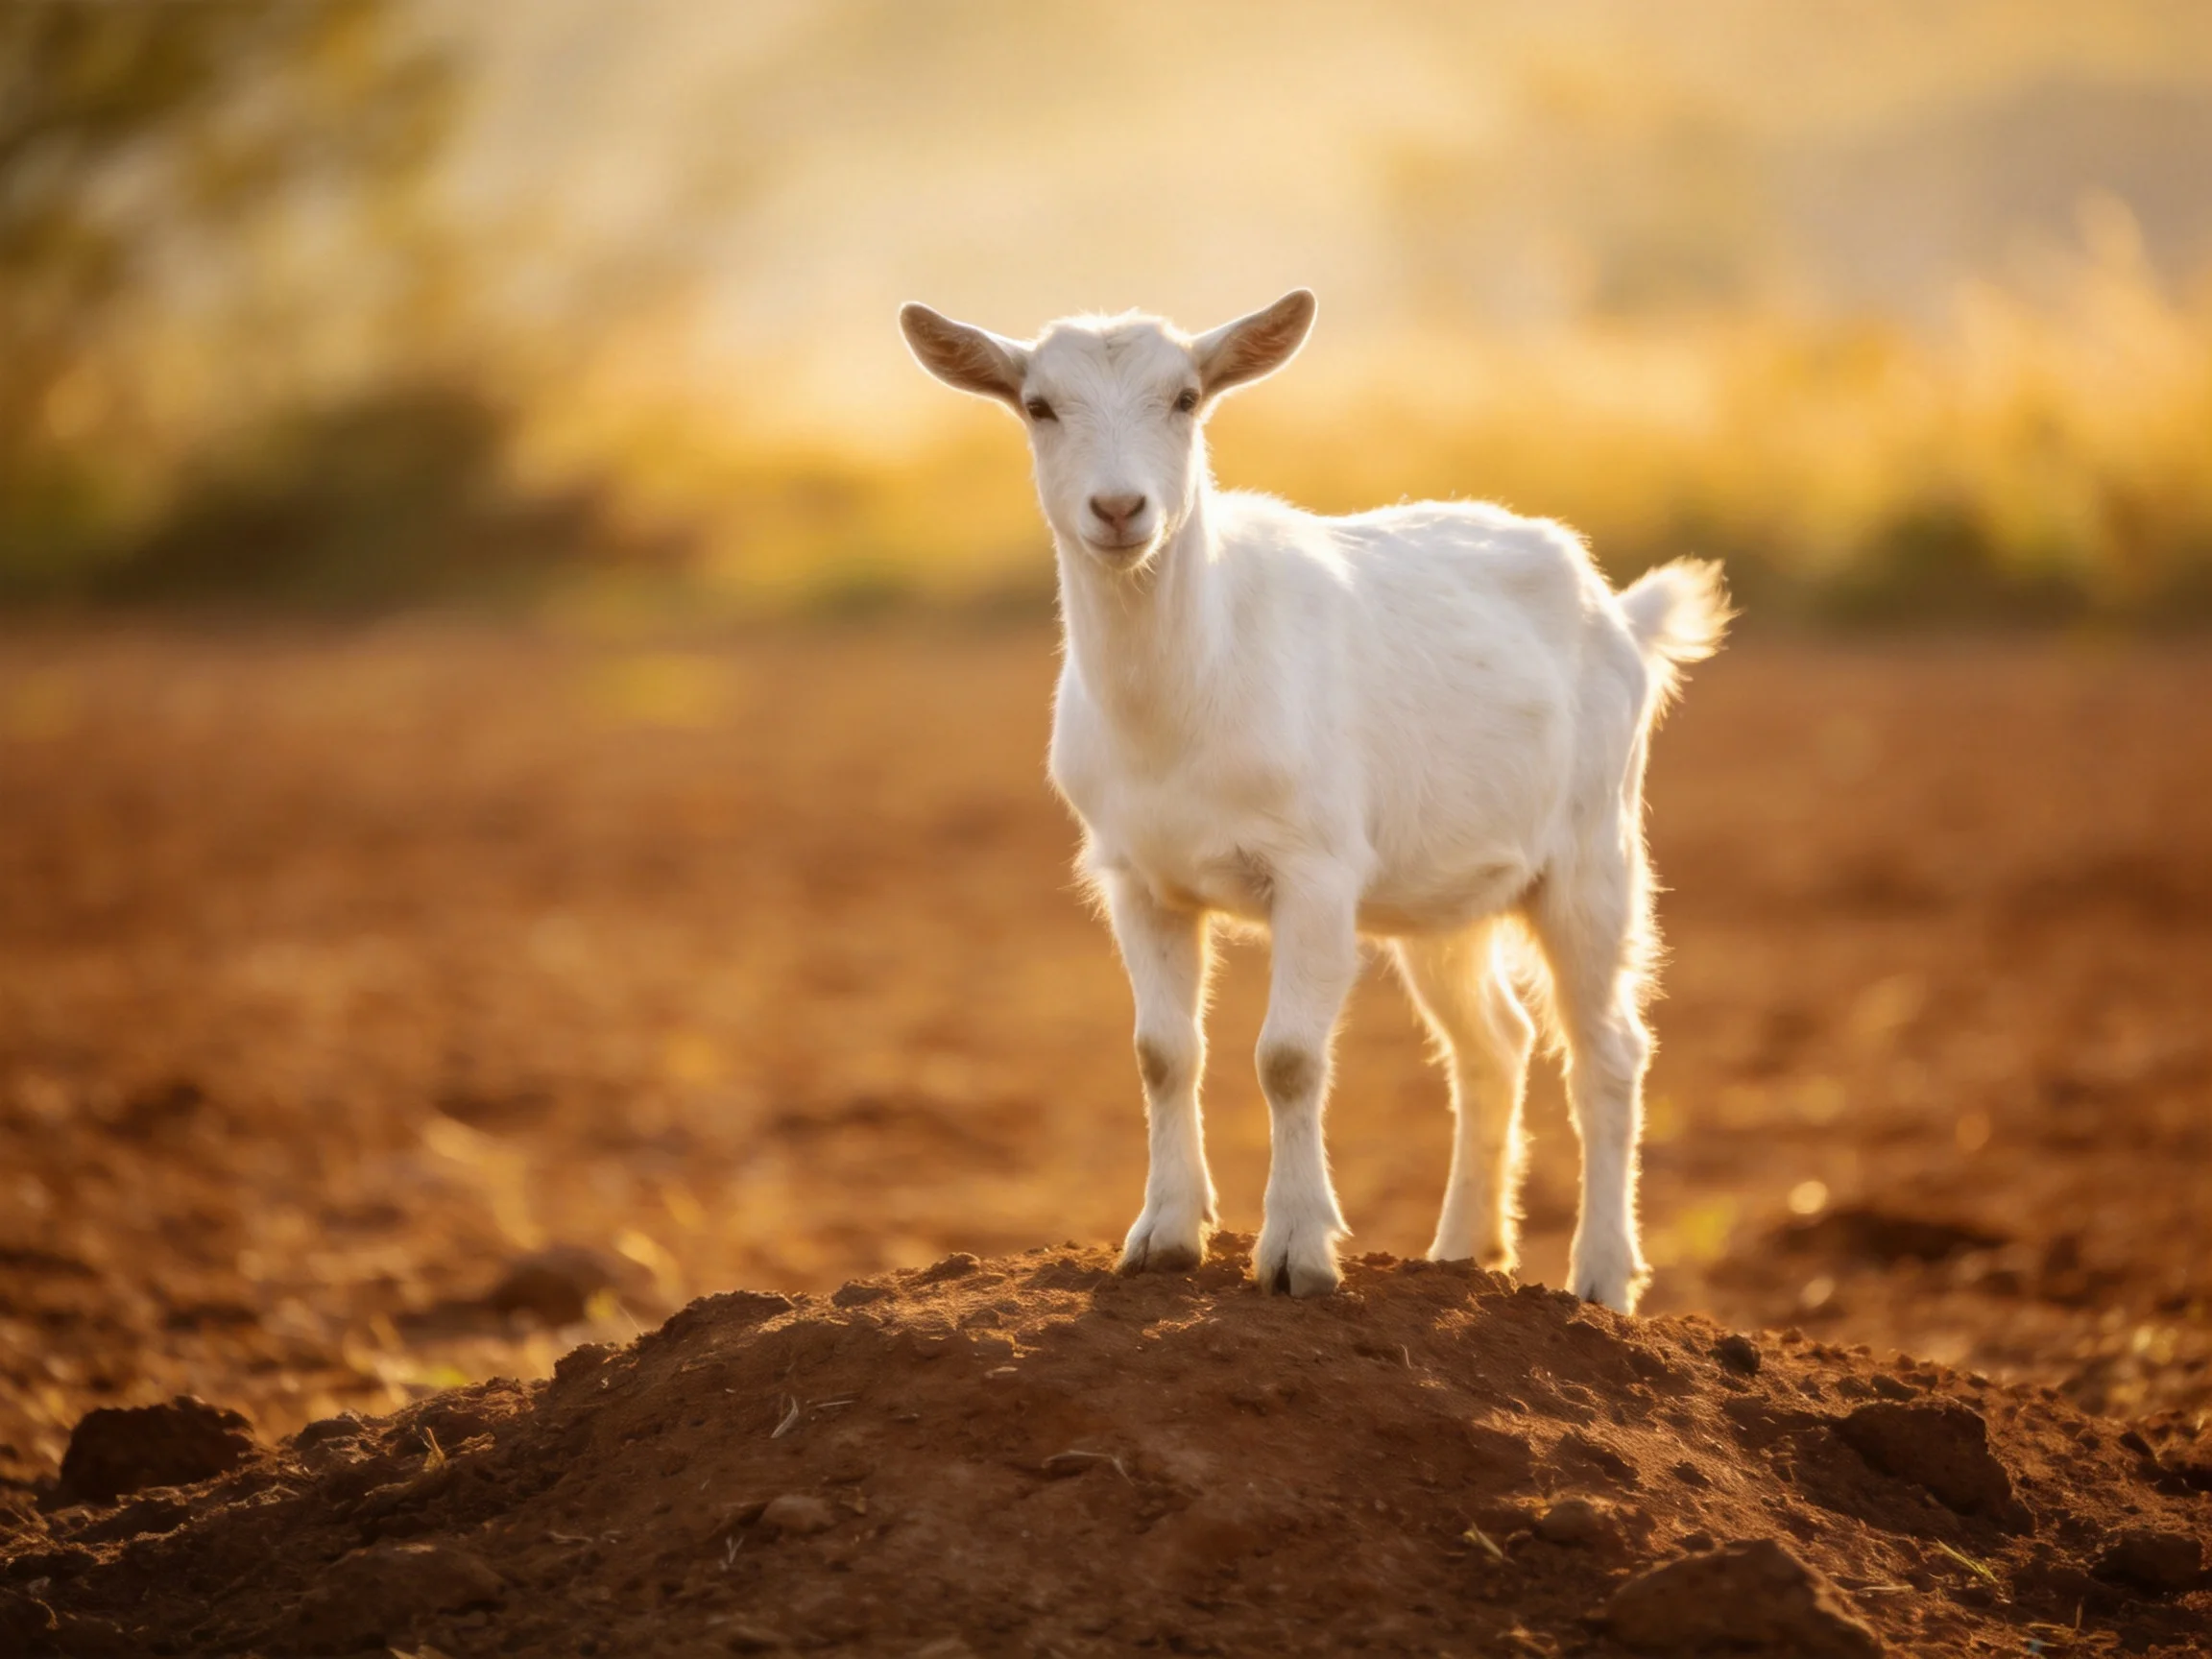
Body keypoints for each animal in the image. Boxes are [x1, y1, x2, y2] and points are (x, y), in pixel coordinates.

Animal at [899, 289, 1729, 1310]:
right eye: (1038, 405)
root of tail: (1621, 613)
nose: (1120, 508)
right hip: (1441, 890)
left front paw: (1297, 1253)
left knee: (1608, 1051)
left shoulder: (1318, 869)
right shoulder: (1138, 878)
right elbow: (1161, 1051)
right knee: (1494, 1041)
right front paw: (1163, 1236)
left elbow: (1289, 1056)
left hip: (1594, 850)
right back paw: (1463, 1250)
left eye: (1186, 398)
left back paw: (1601, 1279)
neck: (1180, 701)